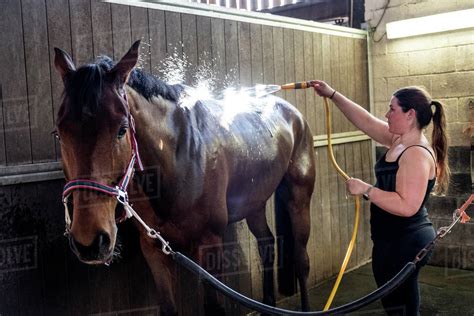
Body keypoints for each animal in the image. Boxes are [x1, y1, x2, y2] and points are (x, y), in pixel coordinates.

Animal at [54, 40, 314, 314]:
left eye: (122, 129)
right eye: (59, 133)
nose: (90, 241)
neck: (178, 158)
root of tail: (293, 113)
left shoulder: (209, 243)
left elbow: (213, 307)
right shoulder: (154, 248)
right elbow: (168, 307)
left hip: (298, 196)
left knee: (301, 260)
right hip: (254, 203)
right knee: (267, 245)